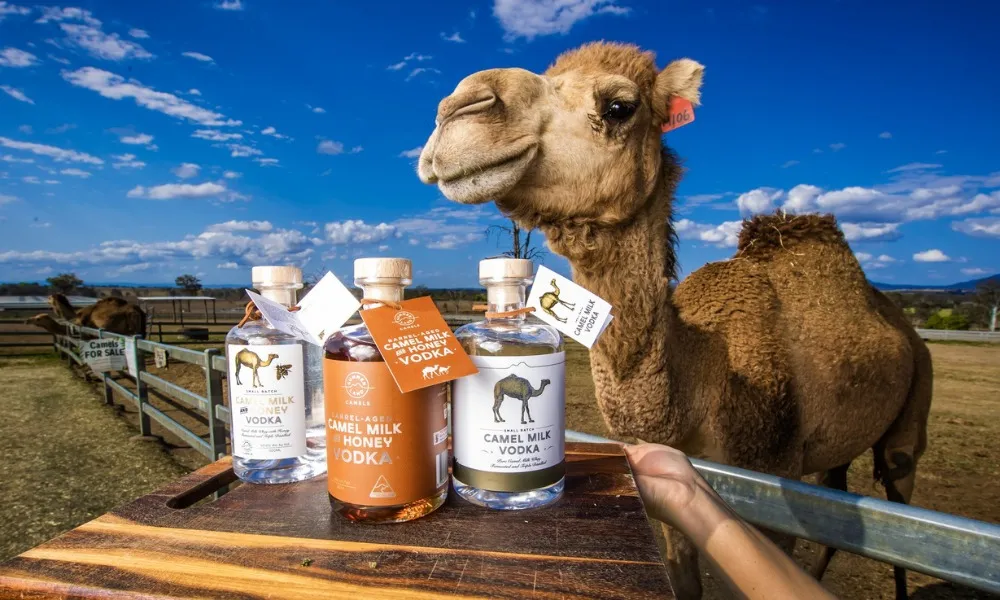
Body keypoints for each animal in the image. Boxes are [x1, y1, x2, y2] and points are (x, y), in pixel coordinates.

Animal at [417, 42, 931, 600]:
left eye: (620, 106)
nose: (460, 107)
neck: (706, 381)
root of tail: (905, 328)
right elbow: (683, 569)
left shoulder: (775, 476)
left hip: (913, 409)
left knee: (899, 490)